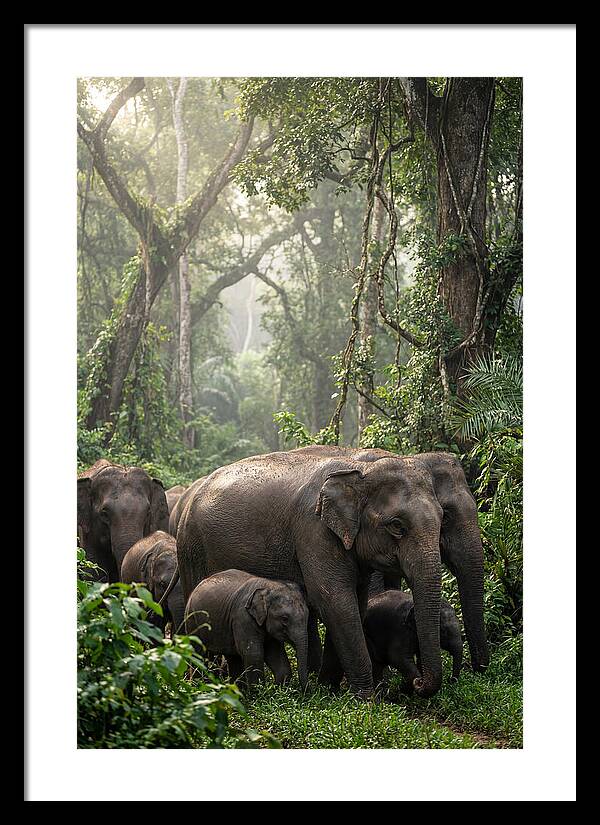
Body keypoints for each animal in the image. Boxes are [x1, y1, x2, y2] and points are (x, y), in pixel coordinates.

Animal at [176, 447, 447, 699]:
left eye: (443, 518)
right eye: (397, 526)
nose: (418, 683)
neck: (361, 470)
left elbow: (354, 603)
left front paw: (328, 689)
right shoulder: (314, 531)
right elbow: (335, 600)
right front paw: (365, 699)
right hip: (191, 549)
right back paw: (205, 681)